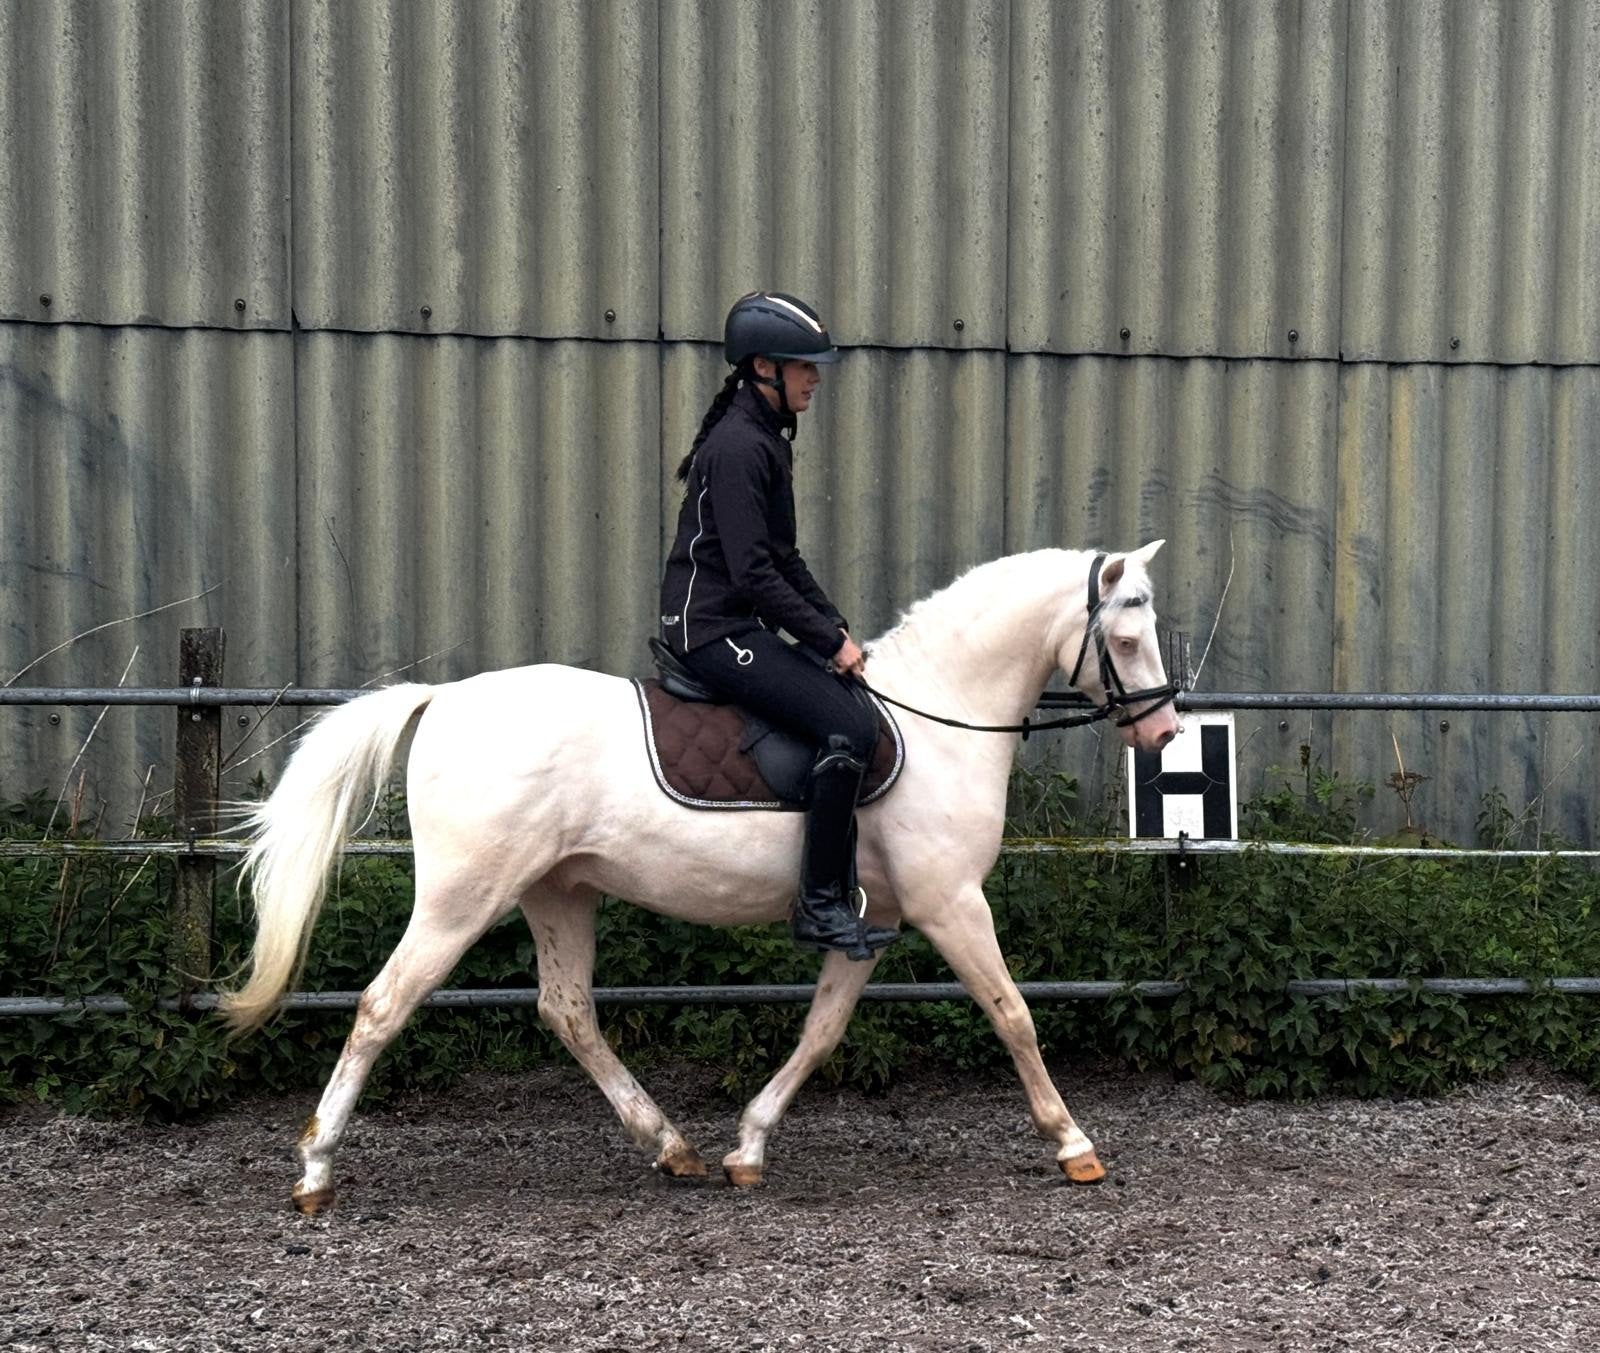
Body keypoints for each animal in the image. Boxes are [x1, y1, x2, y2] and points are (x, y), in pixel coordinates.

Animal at [221, 542, 1181, 1212]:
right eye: (1128, 636)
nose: (1165, 733)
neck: (939, 716)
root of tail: (444, 698)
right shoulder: (952, 904)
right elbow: (1014, 1013)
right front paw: (1074, 1144)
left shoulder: (873, 921)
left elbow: (821, 1031)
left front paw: (747, 1147)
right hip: (464, 897)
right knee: (385, 1004)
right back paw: (315, 1170)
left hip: (558, 892)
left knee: (567, 1010)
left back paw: (670, 1143)